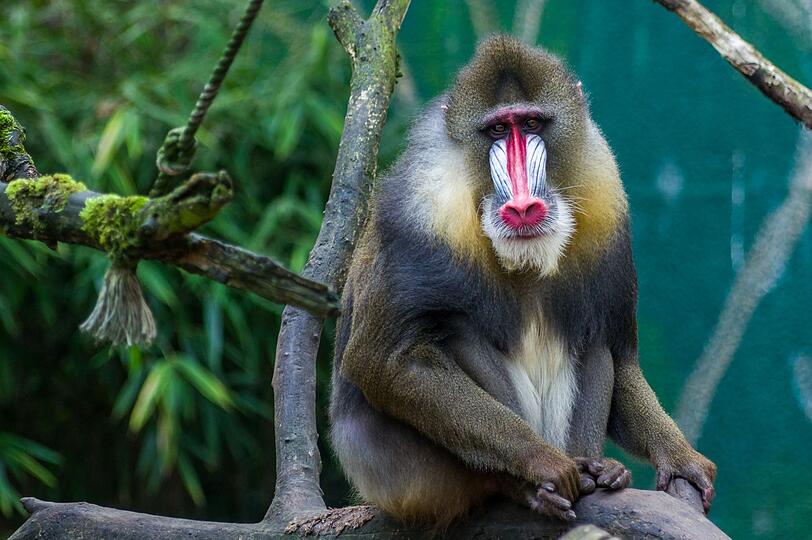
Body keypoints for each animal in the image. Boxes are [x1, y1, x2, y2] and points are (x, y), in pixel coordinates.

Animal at [329, 35, 716, 527]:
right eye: (497, 131)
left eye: (531, 123)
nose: (522, 206)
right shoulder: (423, 213)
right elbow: (384, 361)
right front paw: (541, 465)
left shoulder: (606, 202)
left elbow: (620, 353)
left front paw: (681, 458)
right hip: (409, 475)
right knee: (454, 335)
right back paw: (529, 487)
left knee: (594, 341)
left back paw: (599, 470)